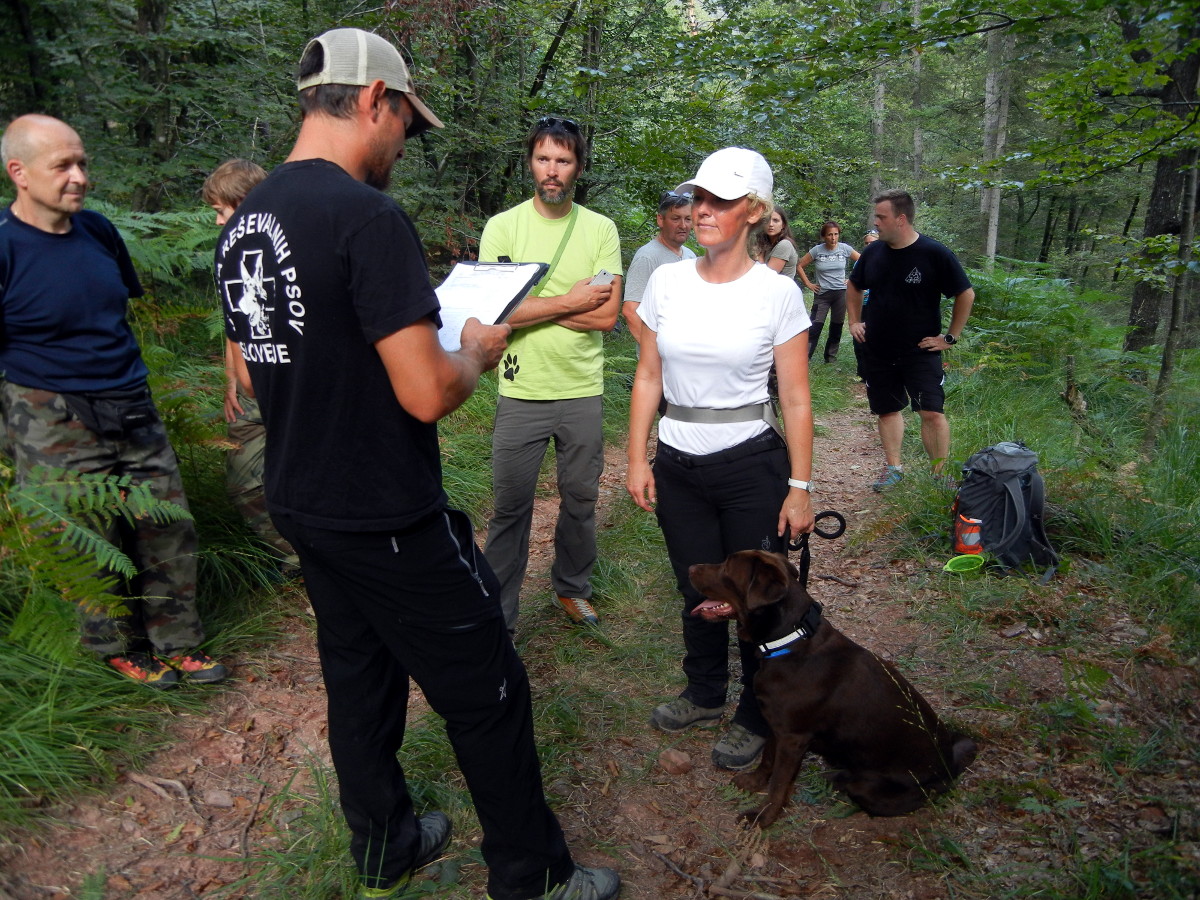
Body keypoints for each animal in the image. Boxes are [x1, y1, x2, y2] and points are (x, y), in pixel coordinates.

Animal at [691, 549, 979, 825]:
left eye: (727, 567)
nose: (690, 567)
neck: (789, 640)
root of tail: (950, 768)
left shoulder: (792, 738)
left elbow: (779, 786)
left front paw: (763, 818)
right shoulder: (776, 725)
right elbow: (767, 759)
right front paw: (754, 782)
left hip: (874, 788)